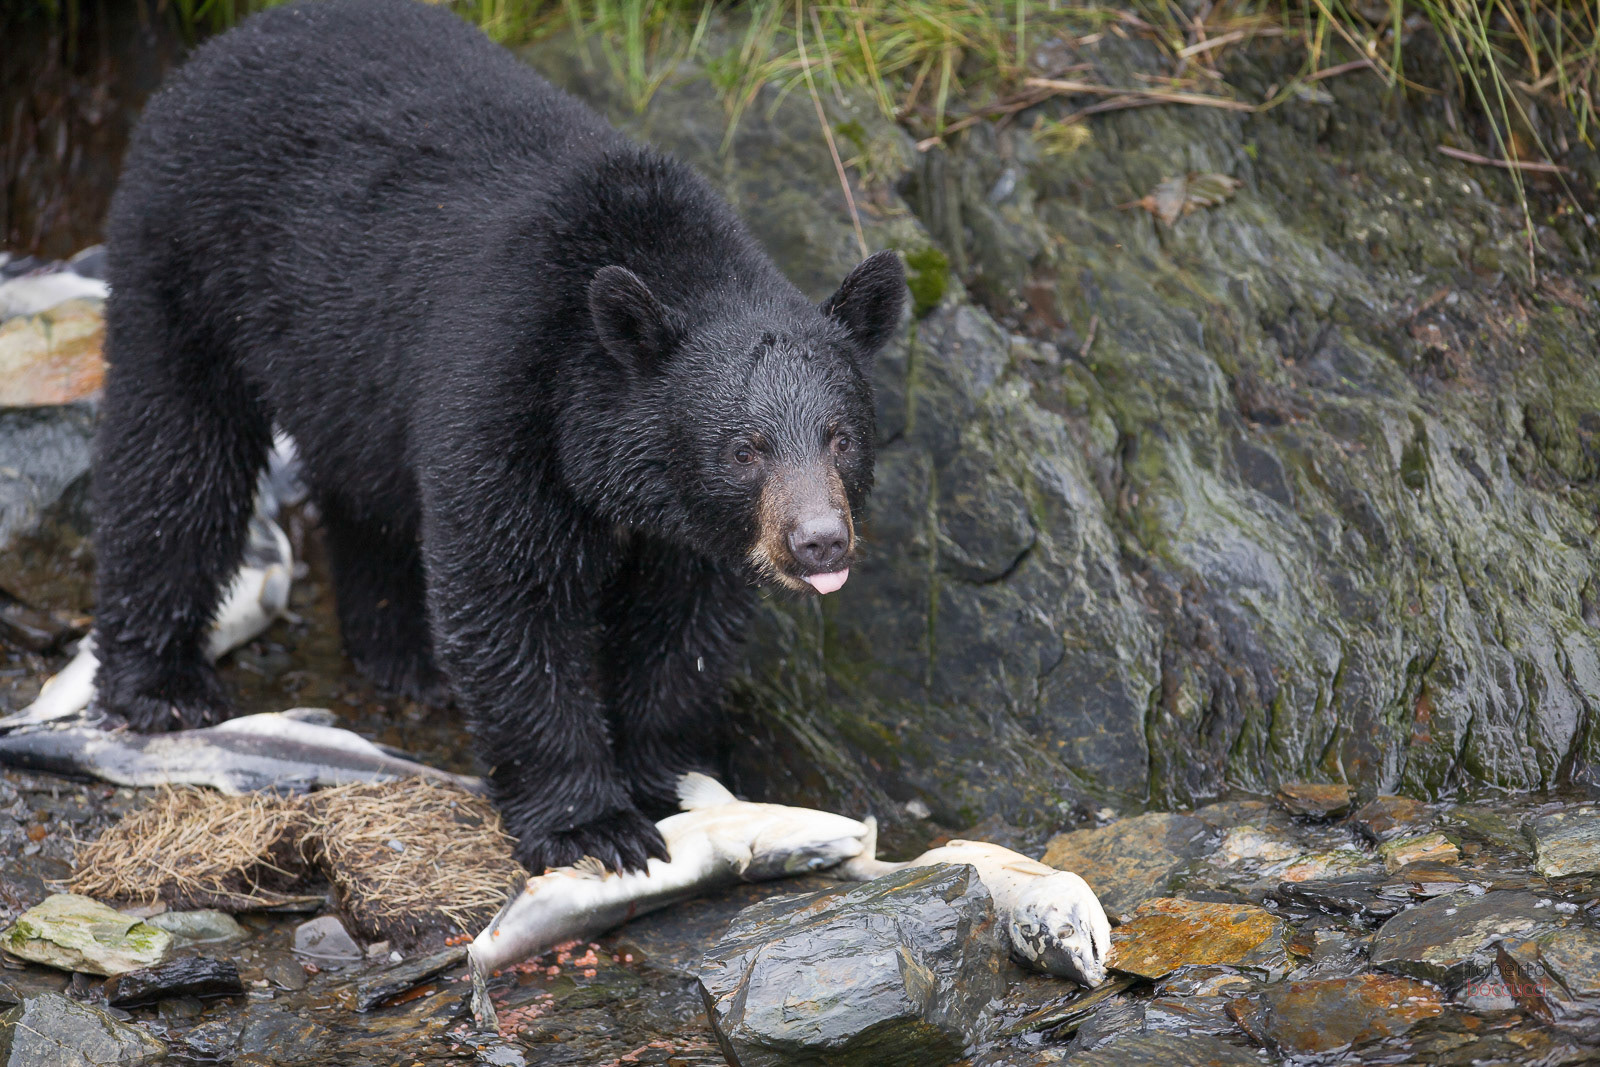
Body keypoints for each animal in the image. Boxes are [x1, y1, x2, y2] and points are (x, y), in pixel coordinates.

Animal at [91, 0, 905, 874]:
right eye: (744, 448)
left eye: (840, 437)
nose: (819, 541)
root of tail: (225, 44)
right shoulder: (506, 398)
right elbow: (511, 599)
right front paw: (593, 825)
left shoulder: (687, 527)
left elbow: (681, 626)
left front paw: (666, 772)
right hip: (187, 260)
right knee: (174, 455)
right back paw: (161, 685)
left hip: (343, 373)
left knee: (365, 493)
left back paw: (402, 653)